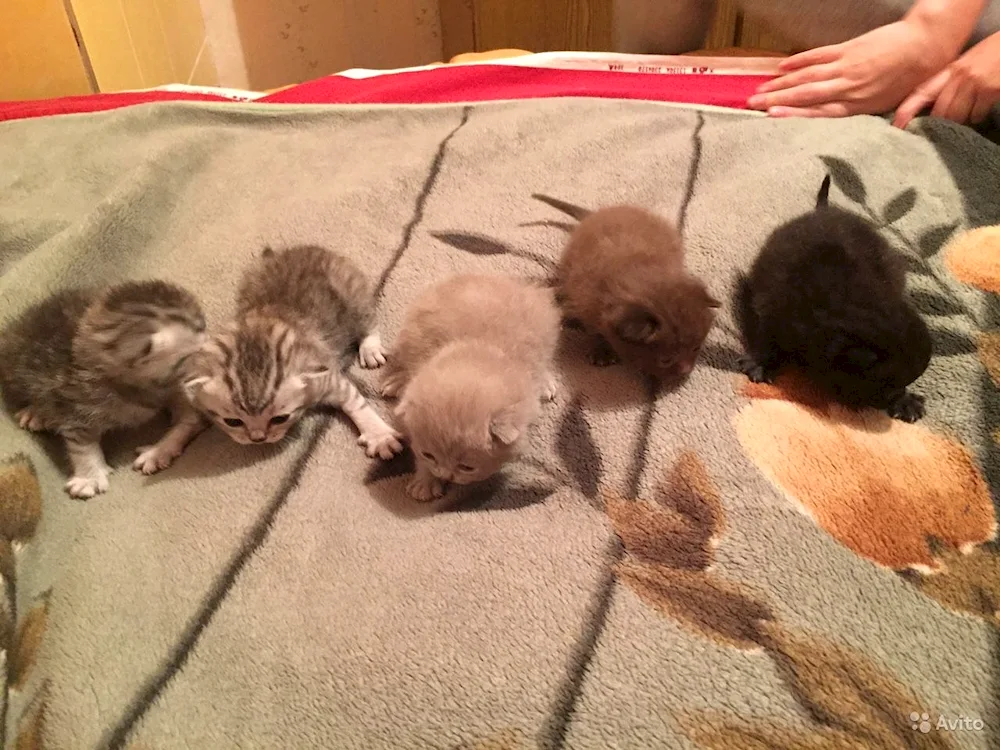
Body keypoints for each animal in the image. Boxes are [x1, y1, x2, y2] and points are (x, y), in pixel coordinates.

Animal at [0, 282, 208, 500]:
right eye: (194, 351)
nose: (210, 343)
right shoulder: (75, 405)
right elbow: (81, 445)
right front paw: (89, 477)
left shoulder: (175, 389)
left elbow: (190, 419)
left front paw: (158, 451)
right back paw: (37, 412)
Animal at [180, 247, 402, 458]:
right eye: (233, 422)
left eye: (280, 419)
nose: (258, 438)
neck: (257, 333)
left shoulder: (327, 378)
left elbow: (355, 401)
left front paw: (380, 436)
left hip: (353, 295)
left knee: (368, 320)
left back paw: (370, 349)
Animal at [380, 274, 560, 502]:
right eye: (429, 455)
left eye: (467, 467)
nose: (446, 475)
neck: (477, 353)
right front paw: (426, 481)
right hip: (412, 329)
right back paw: (397, 381)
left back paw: (546, 382)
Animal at [544, 197, 724, 382]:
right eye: (665, 360)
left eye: (696, 348)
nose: (685, 371)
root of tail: (596, 214)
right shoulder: (586, 302)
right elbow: (596, 331)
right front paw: (602, 351)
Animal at [732, 173, 932, 426]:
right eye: (884, 384)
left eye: (898, 384)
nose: (888, 399)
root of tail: (823, 211)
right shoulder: (771, 306)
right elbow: (768, 335)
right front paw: (761, 363)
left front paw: (904, 400)